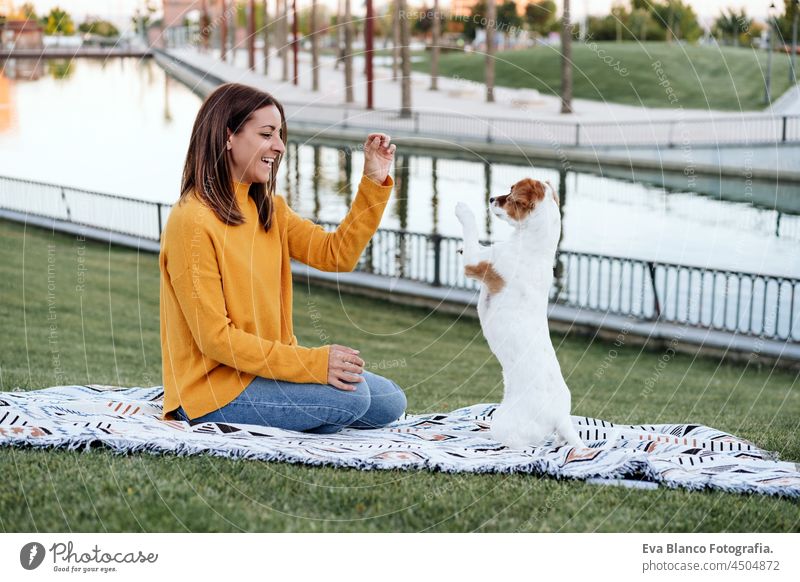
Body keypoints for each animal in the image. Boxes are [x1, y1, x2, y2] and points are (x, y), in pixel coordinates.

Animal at [456, 178, 580, 452]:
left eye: (510, 195)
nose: (491, 199)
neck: (535, 248)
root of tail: (560, 417)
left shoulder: (474, 261)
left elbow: (471, 233)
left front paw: (463, 209)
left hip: (504, 421)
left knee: (511, 443)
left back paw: (479, 437)